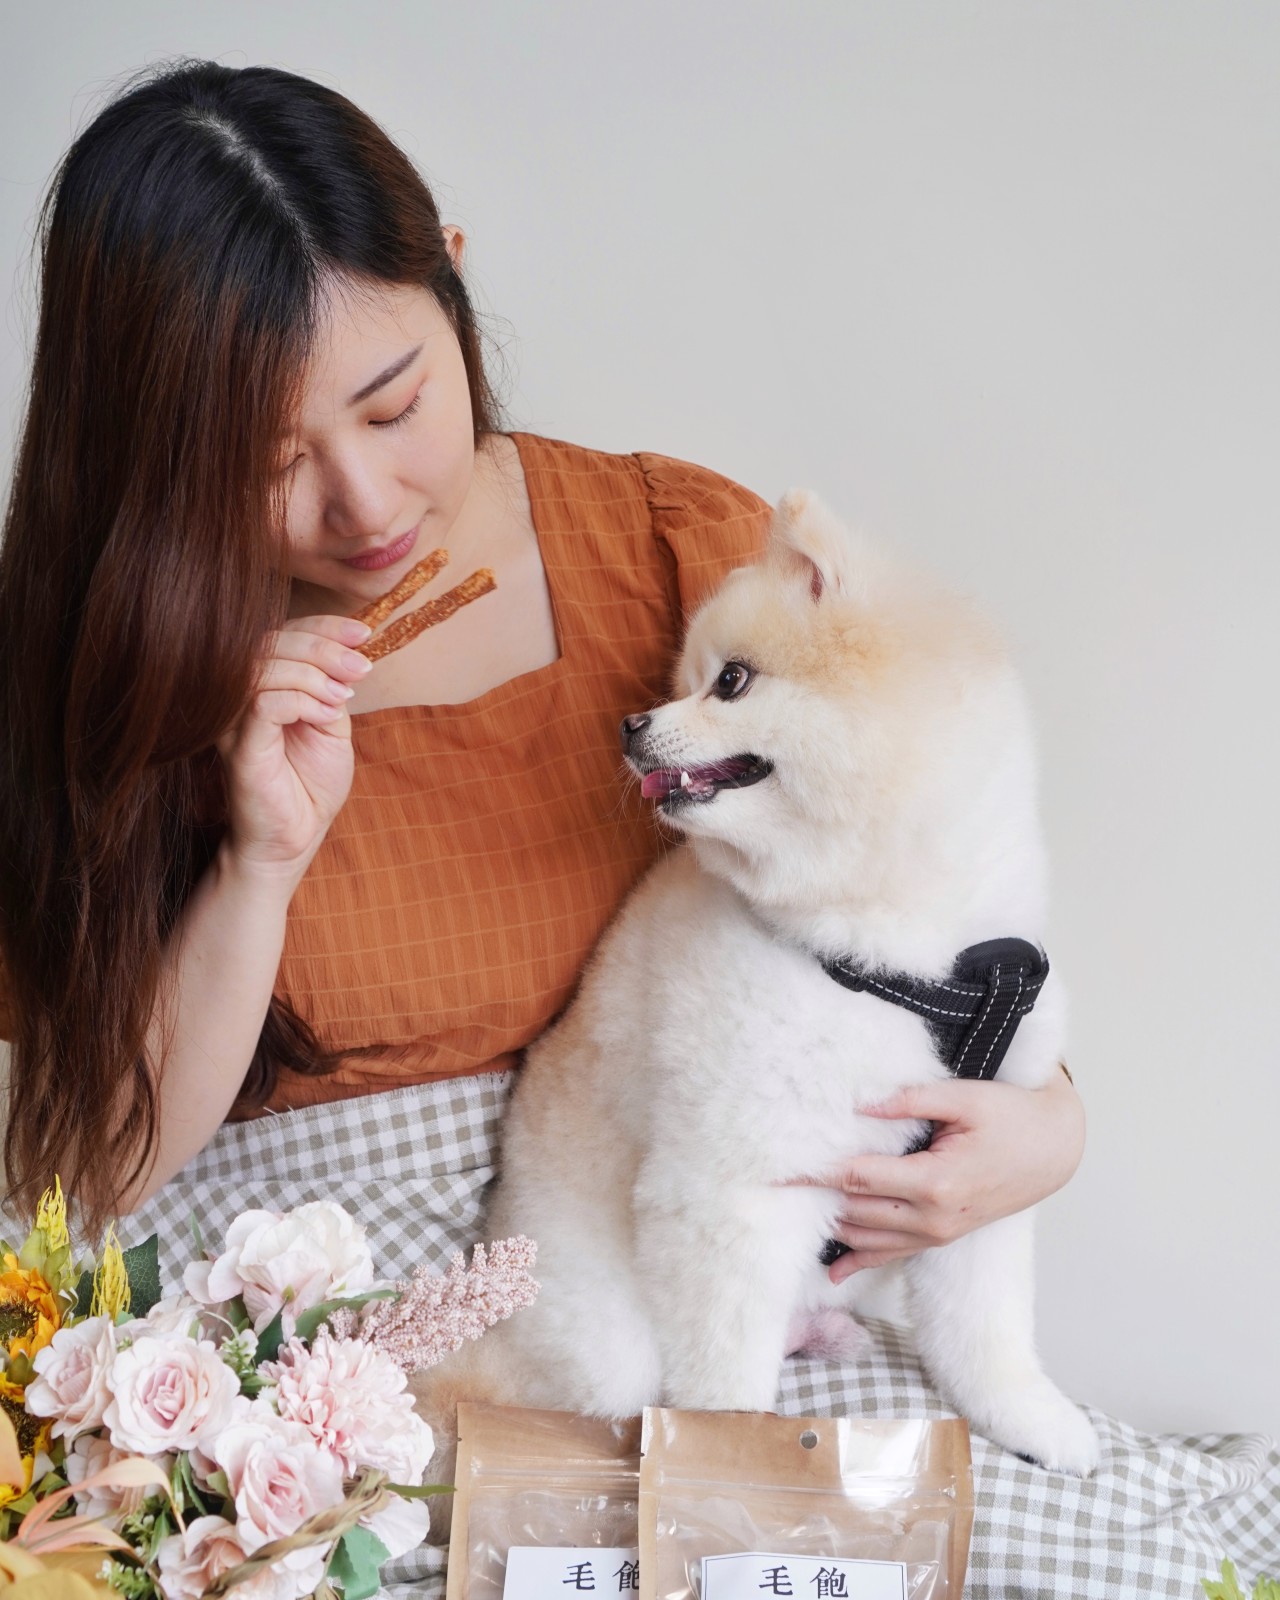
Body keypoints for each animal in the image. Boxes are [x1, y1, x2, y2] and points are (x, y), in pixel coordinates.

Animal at [419, 486, 1100, 1472]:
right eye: (687, 677)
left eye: (731, 681)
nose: (629, 724)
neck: (892, 955)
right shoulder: (733, 1191)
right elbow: (724, 1378)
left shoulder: (984, 1163)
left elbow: (985, 1332)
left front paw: (1030, 1419)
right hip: (604, 1343)